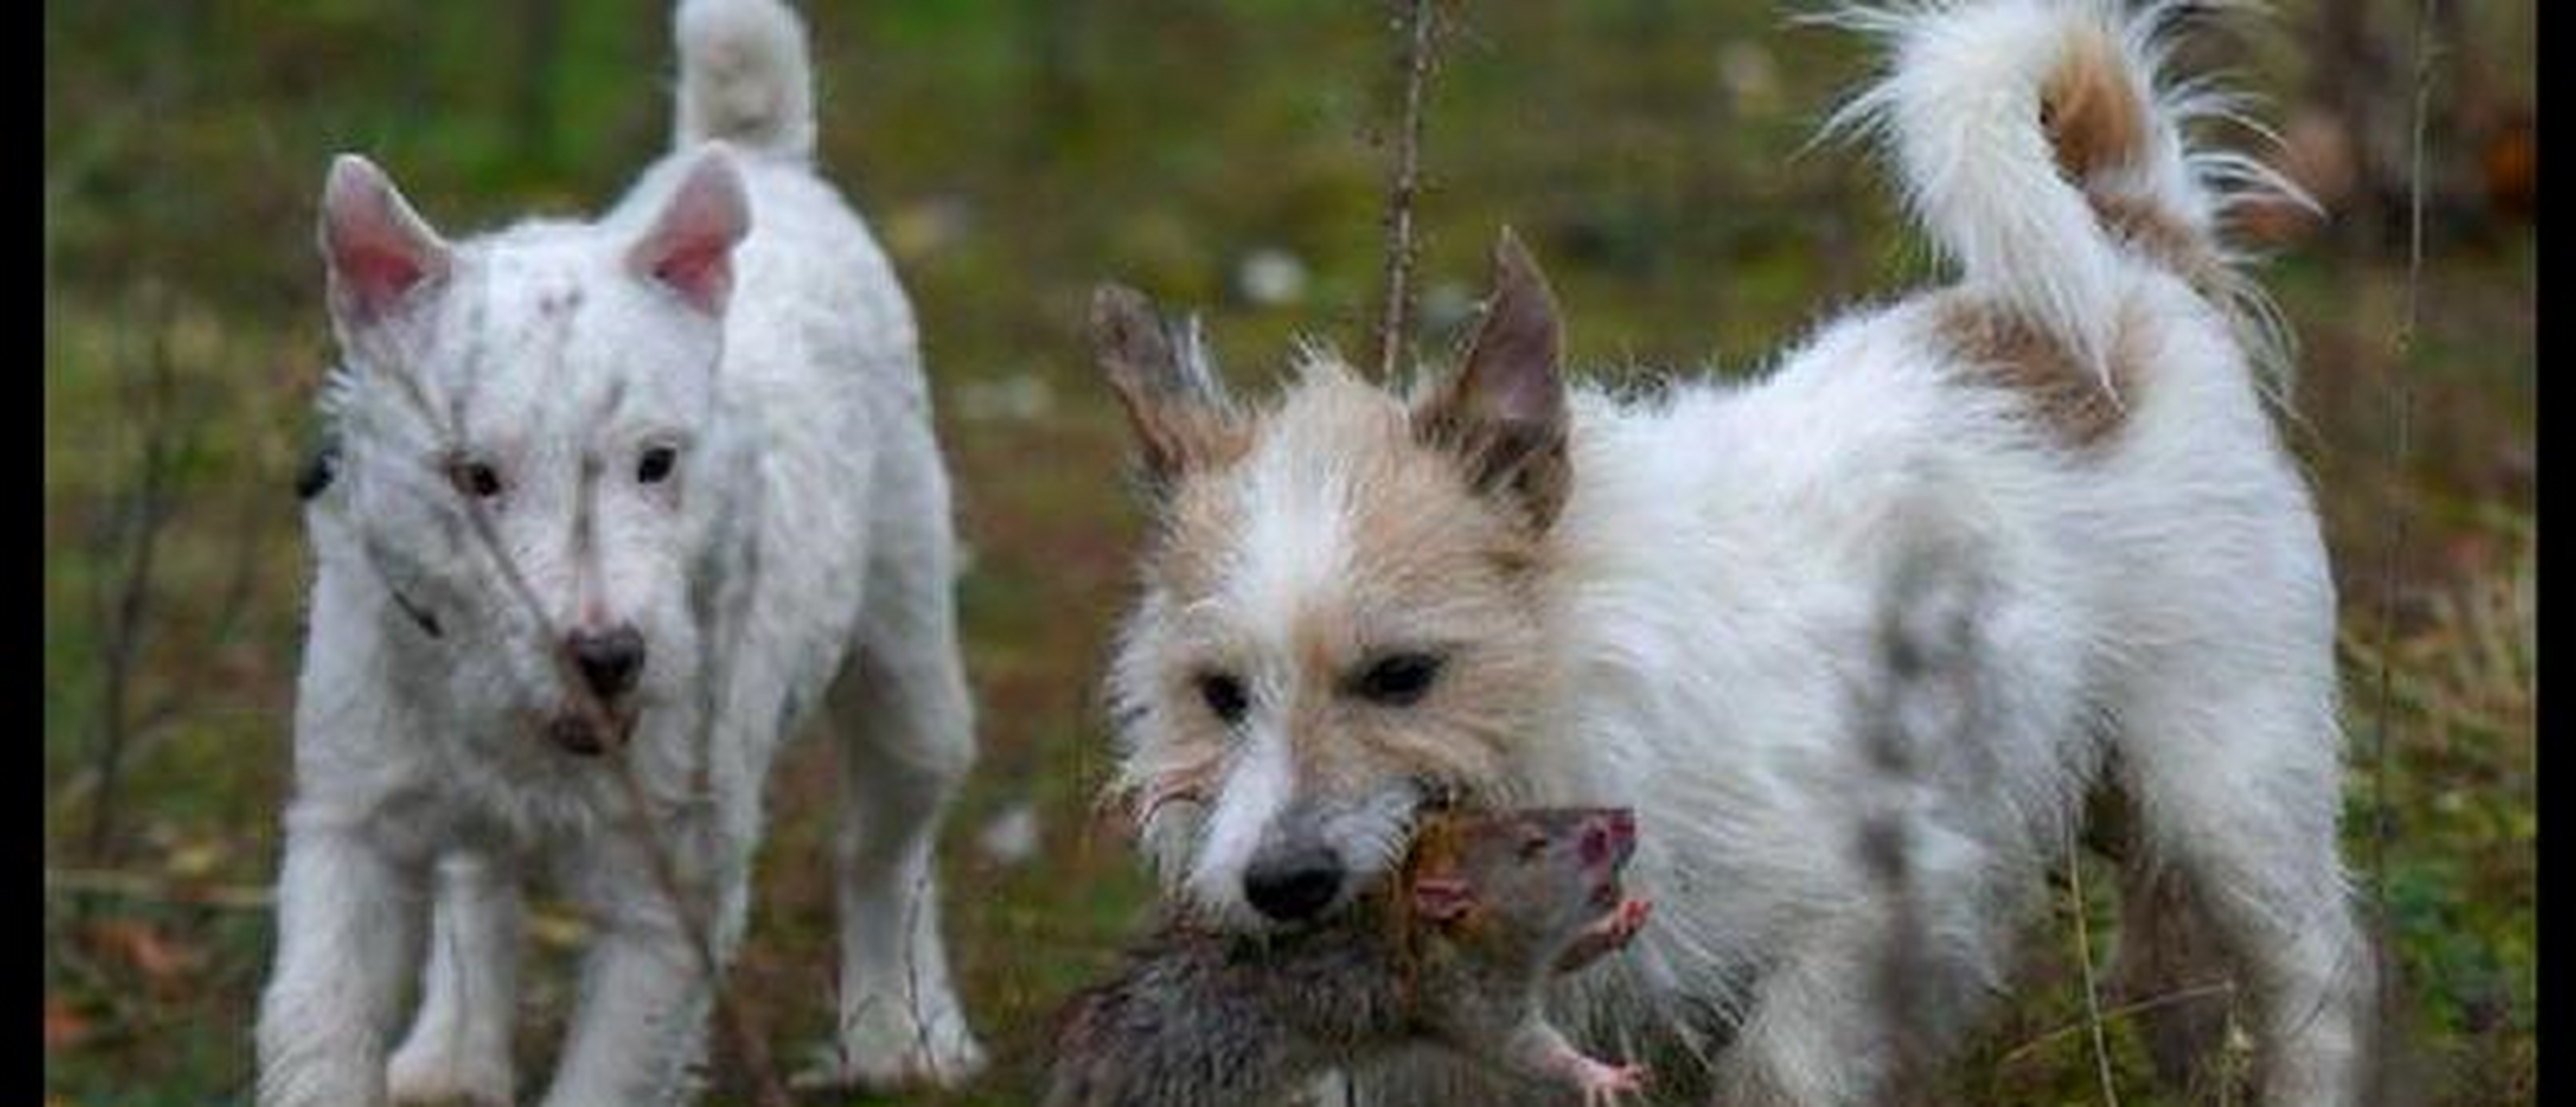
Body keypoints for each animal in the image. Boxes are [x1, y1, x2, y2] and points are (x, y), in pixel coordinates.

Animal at [256, 4, 983, 1102]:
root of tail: (763, 163)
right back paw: (452, 1049)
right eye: (474, 475)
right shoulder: (351, 825)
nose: (608, 657)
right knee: (478, 879)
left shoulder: (668, 897)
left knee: (891, 844)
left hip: (907, 652)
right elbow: (318, 1021)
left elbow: (610, 1069)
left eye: (657, 462)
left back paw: (904, 1026)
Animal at [1082, 4, 2369, 1102]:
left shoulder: (1879, 903)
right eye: (1218, 694)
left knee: (2315, 979)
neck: (1564, 693)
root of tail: (2133, 260)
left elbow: (1782, 1066)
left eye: (1402, 675)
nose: (1277, 885)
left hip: (2230, 788)